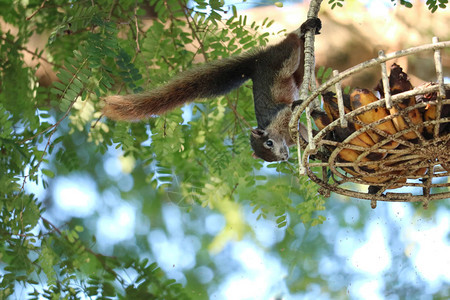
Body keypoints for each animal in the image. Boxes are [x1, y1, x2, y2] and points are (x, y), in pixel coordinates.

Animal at [103, 17, 320, 162]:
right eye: (268, 157)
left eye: (269, 143)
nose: (283, 157)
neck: (278, 132)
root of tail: (256, 62)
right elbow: (304, 131)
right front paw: (315, 147)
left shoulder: (282, 117)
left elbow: (291, 113)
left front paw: (301, 110)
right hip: (293, 71)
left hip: (281, 60)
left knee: (291, 44)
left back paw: (304, 29)